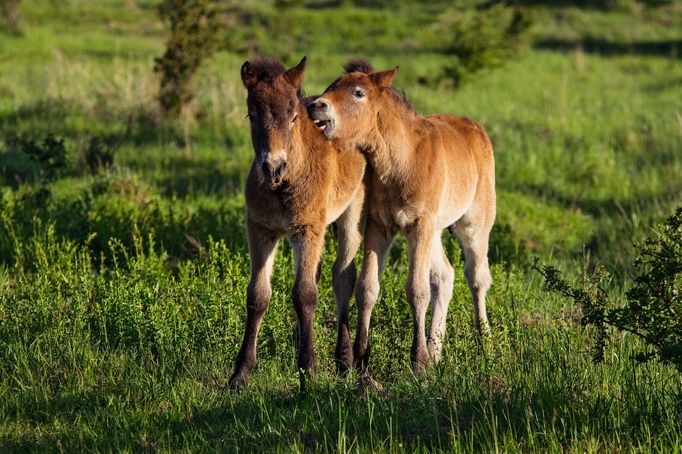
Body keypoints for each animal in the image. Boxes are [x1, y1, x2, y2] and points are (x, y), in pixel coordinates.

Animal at [228, 57, 366, 390]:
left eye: (293, 117)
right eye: (252, 115)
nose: (273, 167)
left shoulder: (307, 230)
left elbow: (304, 294)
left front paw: (308, 373)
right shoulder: (261, 229)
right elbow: (257, 295)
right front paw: (240, 374)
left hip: (352, 213)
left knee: (343, 277)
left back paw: (344, 360)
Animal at [308, 60, 494, 372]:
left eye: (358, 93)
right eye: (331, 86)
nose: (315, 105)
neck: (402, 161)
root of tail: (477, 128)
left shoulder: (418, 227)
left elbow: (417, 290)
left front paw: (418, 360)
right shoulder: (379, 227)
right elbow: (367, 287)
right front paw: (361, 357)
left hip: (474, 224)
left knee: (477, 277)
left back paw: (486, 343)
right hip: (435, 231)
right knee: (445, 276)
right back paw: (436, 351)